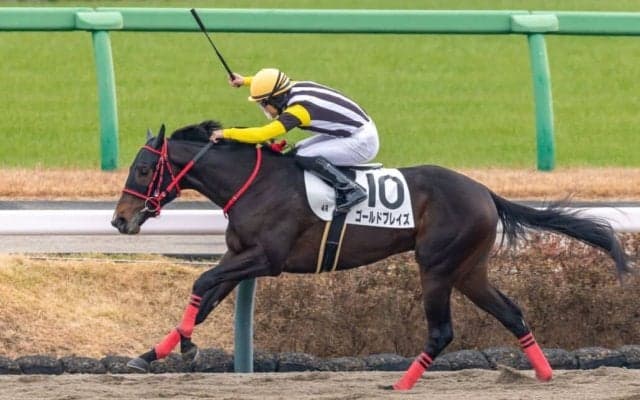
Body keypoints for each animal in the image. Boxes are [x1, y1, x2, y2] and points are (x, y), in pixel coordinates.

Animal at [112, 120, 631, 391]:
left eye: (143, 169)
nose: (119, 220)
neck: (255, 183)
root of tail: (485, 191)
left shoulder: (267, 259)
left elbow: (201, 284)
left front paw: (181, 347)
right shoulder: (241, 257)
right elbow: (206, 298)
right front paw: (155, 353)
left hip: (436, 267)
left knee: (442, 330)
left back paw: (400, 384)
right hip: (469, 271)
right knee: (513, 313)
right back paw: (543, 373)